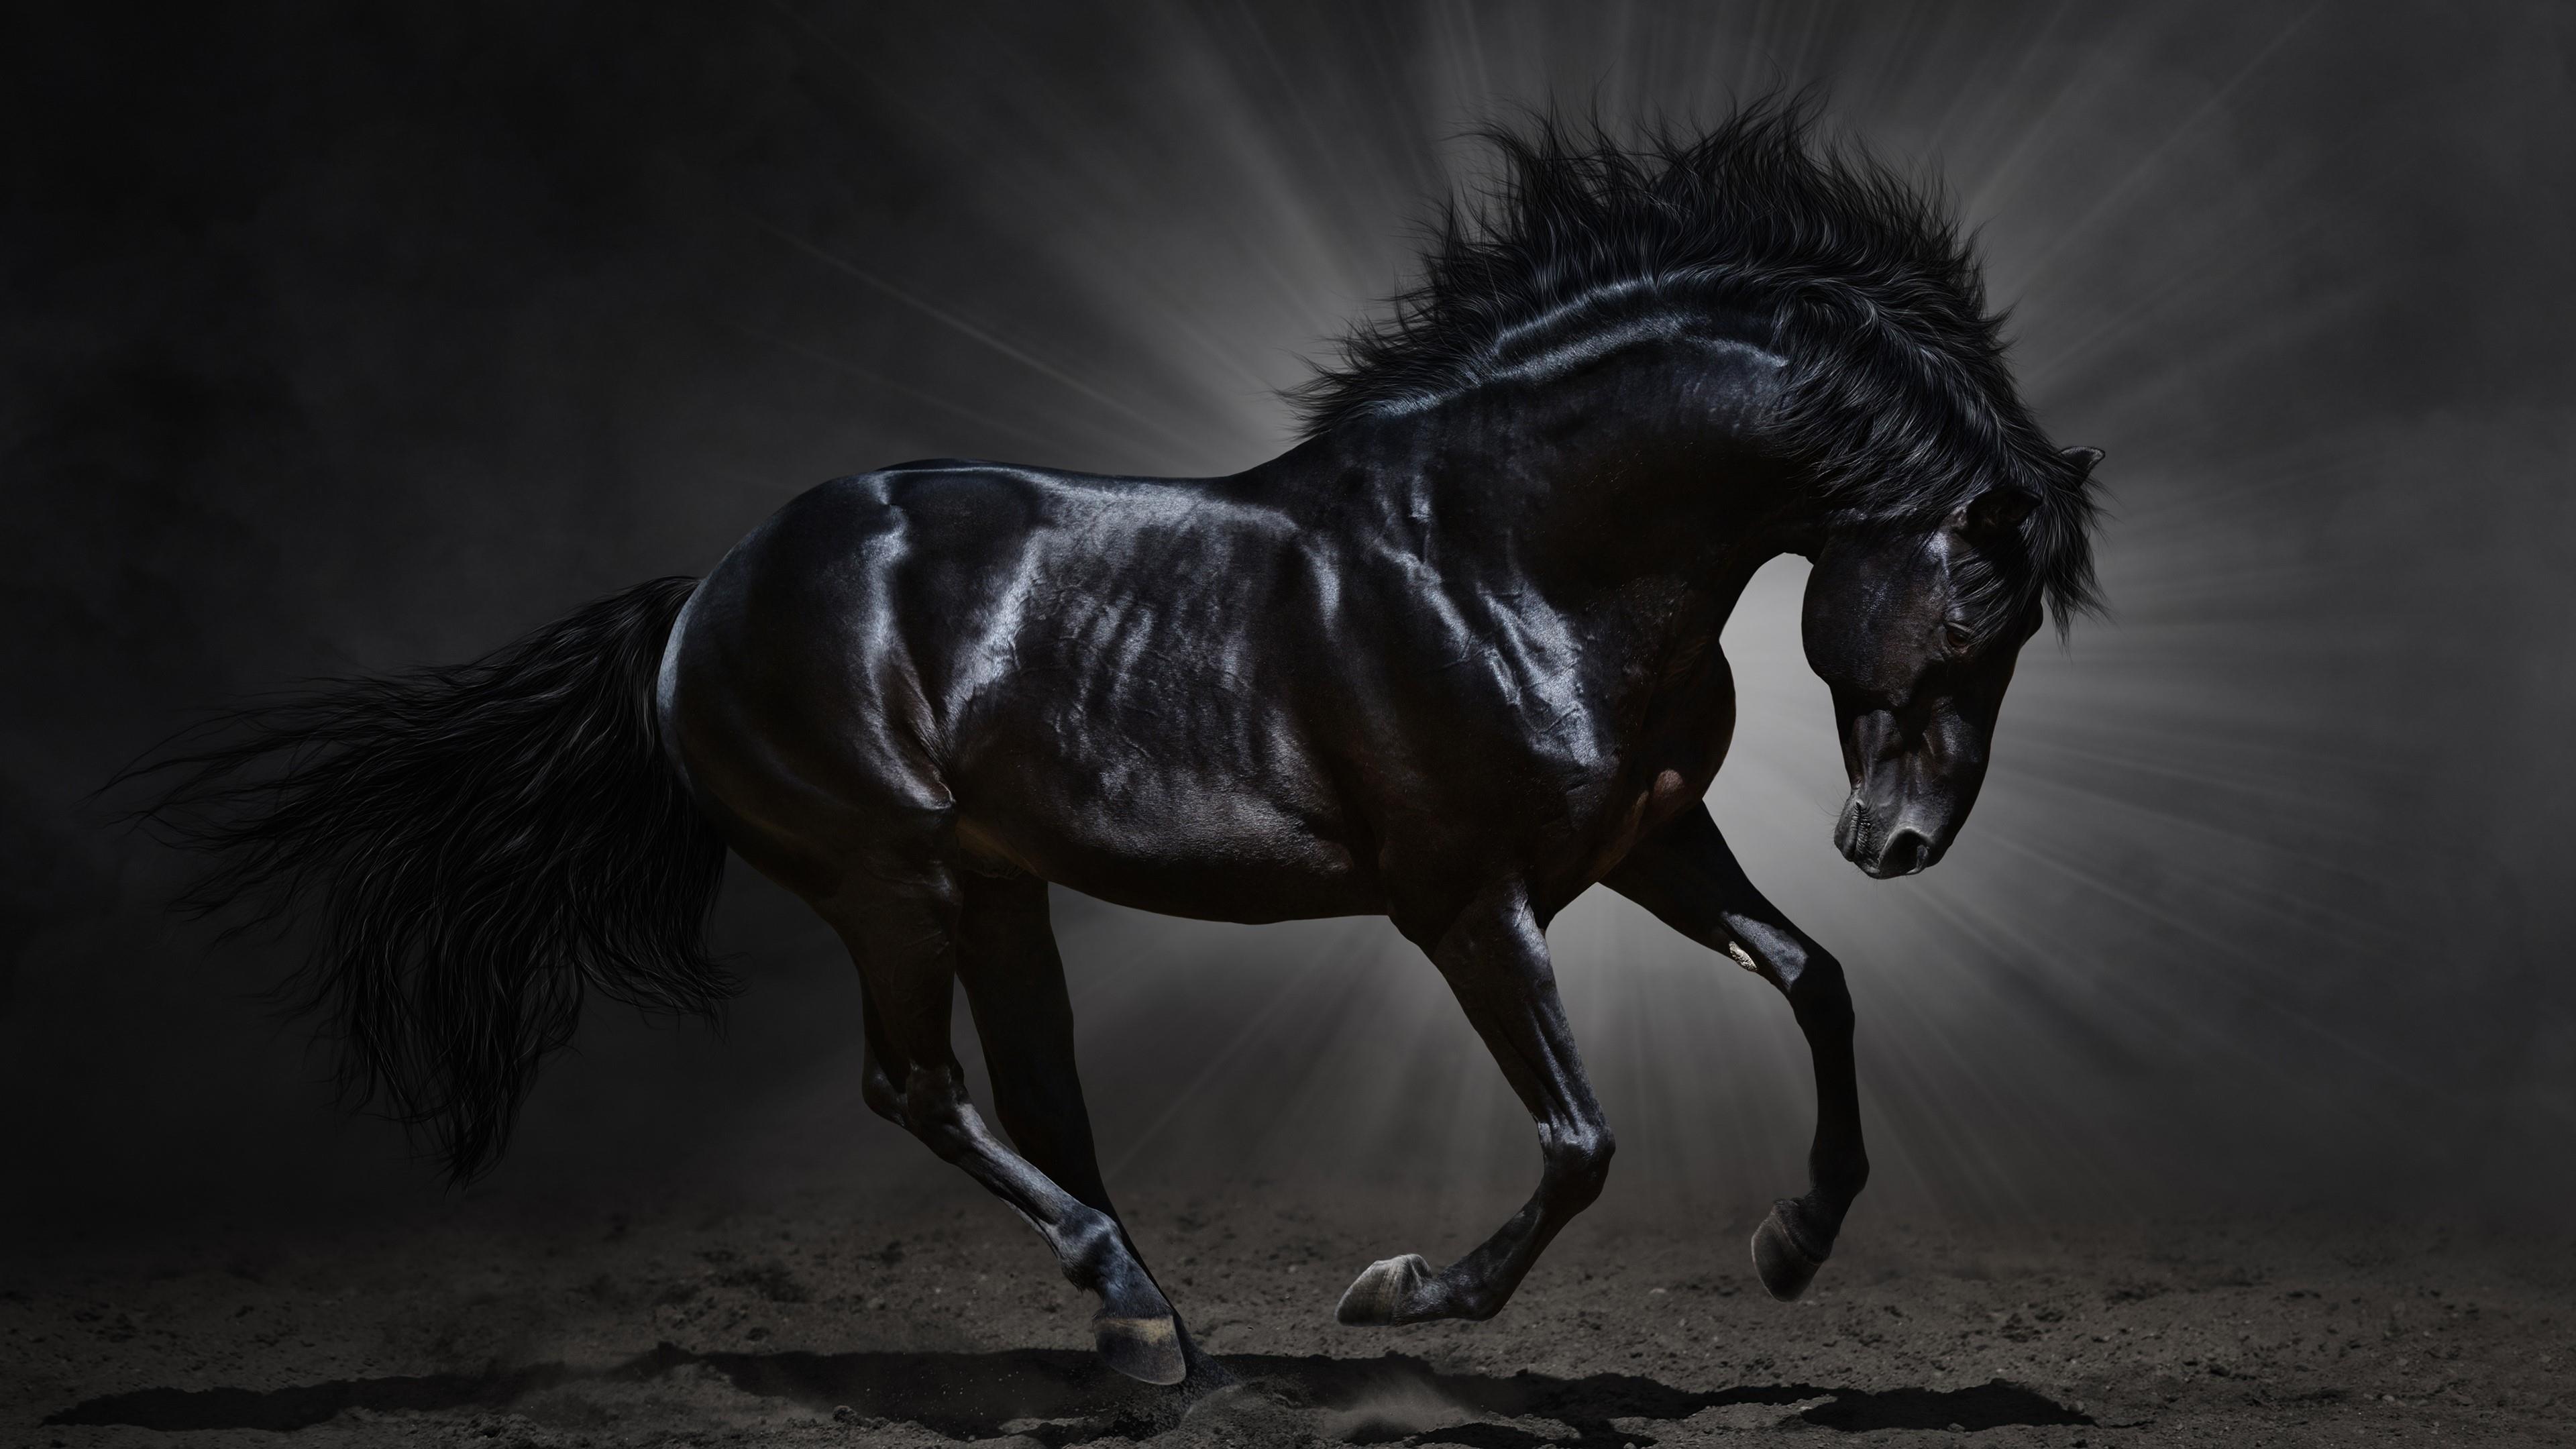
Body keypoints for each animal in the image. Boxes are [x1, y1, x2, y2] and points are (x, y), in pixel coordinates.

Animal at [137, 102, 2103, 1389]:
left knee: (1037, 1097)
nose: (1898, 841)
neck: (1507, 553)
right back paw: (1138, 1316)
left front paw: (1792, 1243)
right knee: (916, 1087)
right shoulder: (1469, 902)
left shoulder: (1643, 843)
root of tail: (705, 593)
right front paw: (1398, 1295)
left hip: (995, 886)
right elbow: (1579, 1139)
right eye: (1971, 614)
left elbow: (1816, 981)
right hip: (888, 876)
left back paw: (1149, 1327)